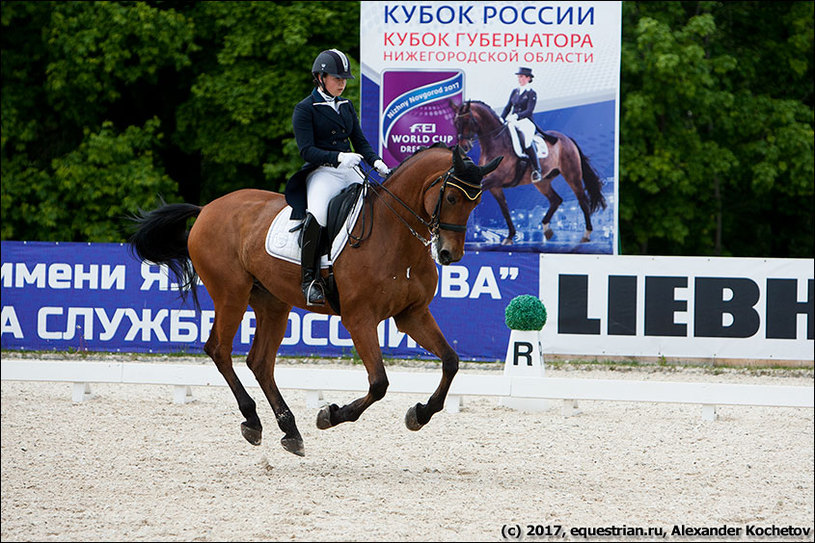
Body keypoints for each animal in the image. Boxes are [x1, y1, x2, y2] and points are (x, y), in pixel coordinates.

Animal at [130, 144, 500, 454]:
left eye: (476, 202)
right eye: (451, 198)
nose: (450, 254)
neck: (394, 235)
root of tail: (207, 207)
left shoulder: (413, 314)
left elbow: (450, 361)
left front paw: (419, 414)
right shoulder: (359, 319)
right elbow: (379, 383)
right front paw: (330, 415)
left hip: (272, 302)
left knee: (260, 362)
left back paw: (289, 431)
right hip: (230, 294)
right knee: (219, 350)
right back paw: (253, 421)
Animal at [452, 100, 604, 246]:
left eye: (467, 121)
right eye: (456, 123)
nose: (464, 147)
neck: (495, 142)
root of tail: (567, 139)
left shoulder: (495, 179)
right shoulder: (495, 186)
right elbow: (505, 209)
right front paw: (510, 236)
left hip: (572, 174)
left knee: (582, 200)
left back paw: (586, 235)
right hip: (542, 182)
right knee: (556, 200)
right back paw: (547, 229)